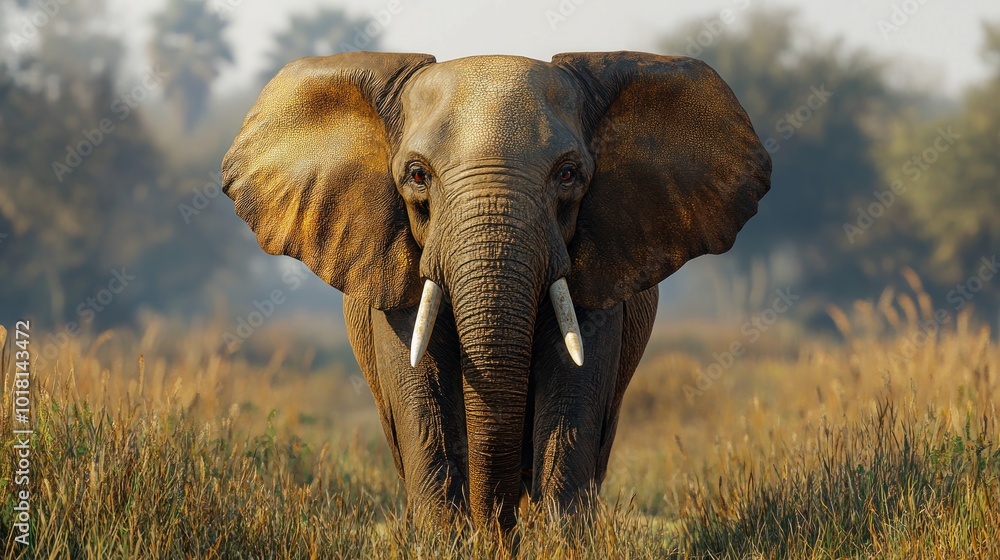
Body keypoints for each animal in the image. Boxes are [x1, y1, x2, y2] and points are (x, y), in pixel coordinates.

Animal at [221, 51, 770, 531]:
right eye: (417, 175)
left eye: (568, 174)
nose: (493, 532)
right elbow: (420, 396)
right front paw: (446, 542)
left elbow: (574, 393)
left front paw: (560, 542)